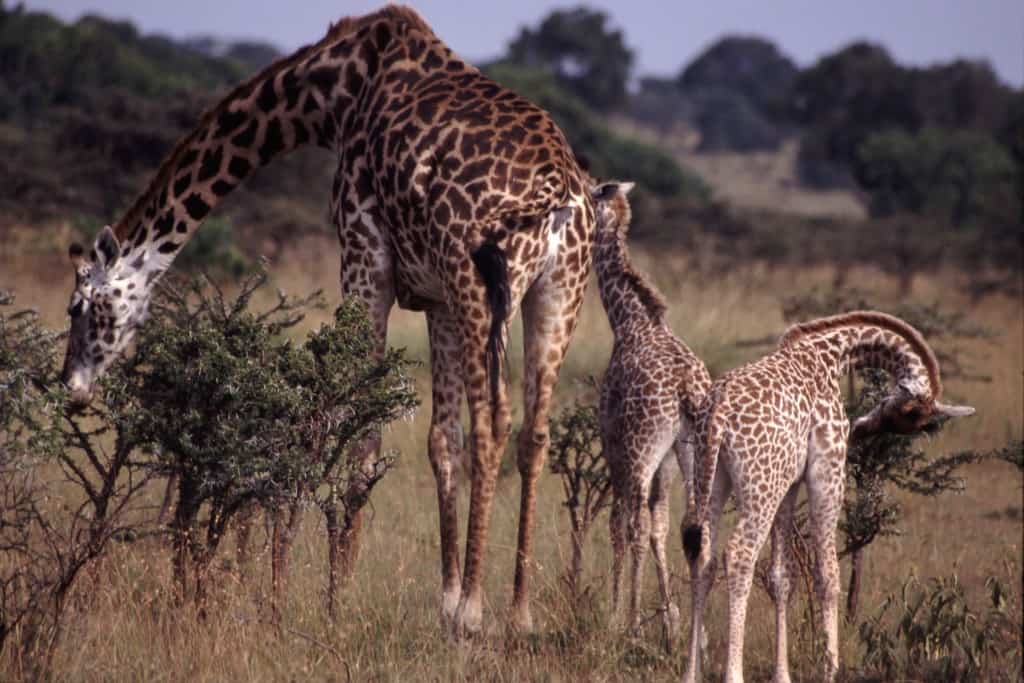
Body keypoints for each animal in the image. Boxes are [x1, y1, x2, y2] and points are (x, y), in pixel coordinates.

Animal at [59, 3, 598, 634]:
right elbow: (441, 441)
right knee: (534, 432)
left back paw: (476, 608)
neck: (331, 94)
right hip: (557, 293)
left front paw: (337, 599)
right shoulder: (436, 297)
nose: (71, 388)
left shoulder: (364, 256)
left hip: (482, 289)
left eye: (81, 308)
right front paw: (441, 598)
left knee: (495, 423)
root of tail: (557, 195)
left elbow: (360, 434)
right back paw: (518, 612)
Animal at [589, 181, 708, 651]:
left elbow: (621, 524)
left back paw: (634, 623)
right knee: (694, 523)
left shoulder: (615, 444)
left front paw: (618, 615)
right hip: (694, 453)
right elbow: (660, 527)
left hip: (641, 448)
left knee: (634, 524)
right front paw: (671, 621)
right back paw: (698, 635)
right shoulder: (669, 461)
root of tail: (685, 390)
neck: (629, 320)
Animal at [679, 311, 974, 683]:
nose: (859, 429)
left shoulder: (789, 483)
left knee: (705, 556)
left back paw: (691, 673)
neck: (830, 356)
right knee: (739, 554)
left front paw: (783, 675)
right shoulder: (827, 468)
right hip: (759, 487)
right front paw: (830, 667)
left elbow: (782, 576)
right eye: (909, 414)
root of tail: (717, 414)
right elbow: (828, 574)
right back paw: (734, 674)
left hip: (714, 477)